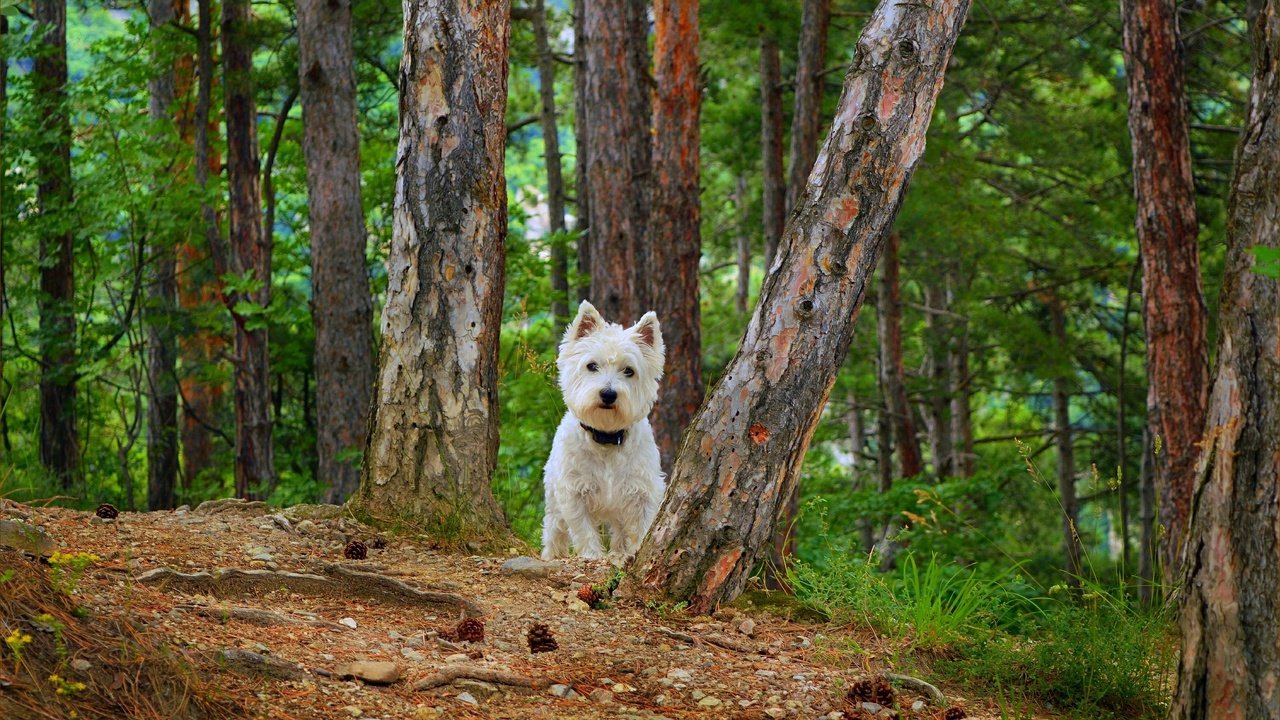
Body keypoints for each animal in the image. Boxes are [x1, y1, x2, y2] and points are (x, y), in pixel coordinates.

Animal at [540, 298, 665, 561]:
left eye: (629, 370)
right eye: (591, 366)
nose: (608, 394)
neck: (607, 437)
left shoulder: (642, 490)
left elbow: (643, 526)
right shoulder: (574, 492)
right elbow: (584, 529)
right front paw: (591, 555)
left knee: (619, 531)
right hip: (554, 498)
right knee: (554, 529)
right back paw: (551, 555)